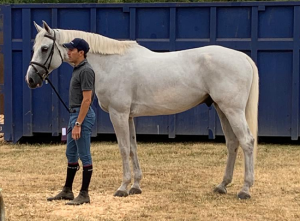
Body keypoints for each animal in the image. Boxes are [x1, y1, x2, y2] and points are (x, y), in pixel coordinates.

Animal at [25, 21, 258, 199]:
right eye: (34, 47)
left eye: (44, 48)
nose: (31, 79)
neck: (111, 64)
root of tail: (243, 57)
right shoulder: (128, 116)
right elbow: (133, 148)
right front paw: (136, 186)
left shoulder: (118, 114)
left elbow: (123, 148)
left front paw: (122, 188)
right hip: (222, 109)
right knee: (232, 143)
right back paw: (222, 185)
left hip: (232, 110)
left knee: (246, 141)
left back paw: (245, 189)